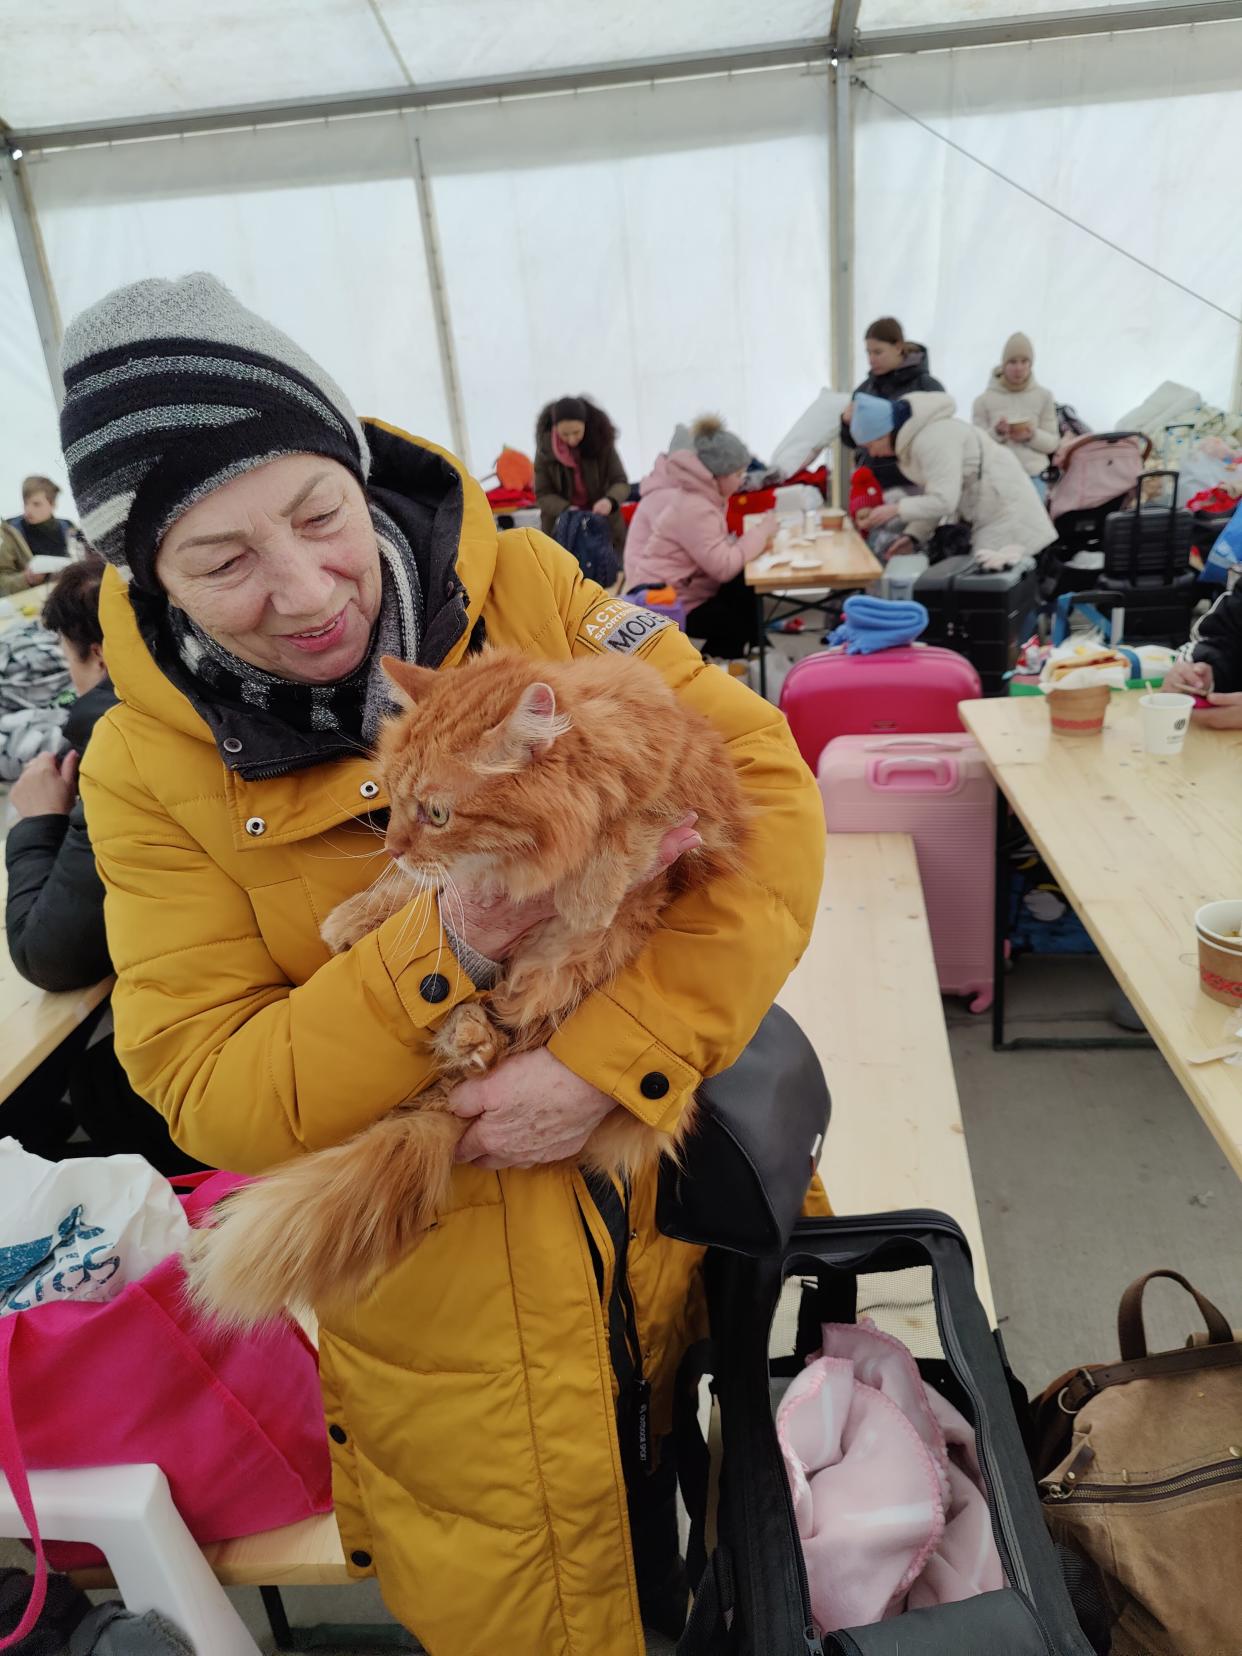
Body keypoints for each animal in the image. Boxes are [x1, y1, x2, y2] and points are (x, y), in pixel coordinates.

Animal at [184, 645, 748, 1331]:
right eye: (395, 801)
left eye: (438, 813)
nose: (392, 845)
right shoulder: (451, 885)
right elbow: (422, 894)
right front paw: (354, 920)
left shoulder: (686, 807)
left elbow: (627, 834)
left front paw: (590, 889)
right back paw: (465, 1031)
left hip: (571, 973)